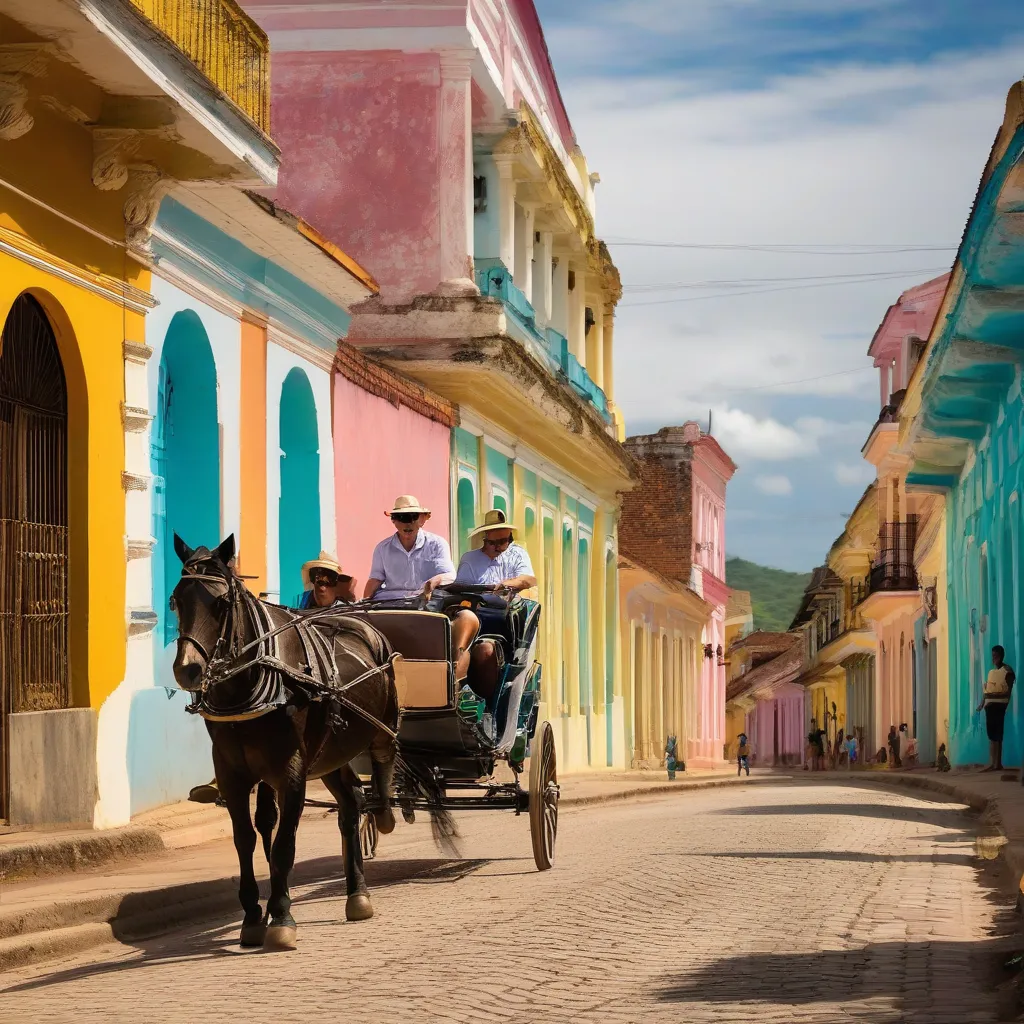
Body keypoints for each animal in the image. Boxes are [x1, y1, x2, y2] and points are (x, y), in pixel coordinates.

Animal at [169, 536, 397, 950]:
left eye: (221, 603)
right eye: (175, 600)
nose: (188, 669)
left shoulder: (291, 771)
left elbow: (283, 844)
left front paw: (281, 915)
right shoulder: (232, 772)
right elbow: (246, 837)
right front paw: (252, 916)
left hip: (381, 722)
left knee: (384, 753)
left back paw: (384, 813)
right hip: (330, 754)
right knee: (350, 803)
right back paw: (357, 892)